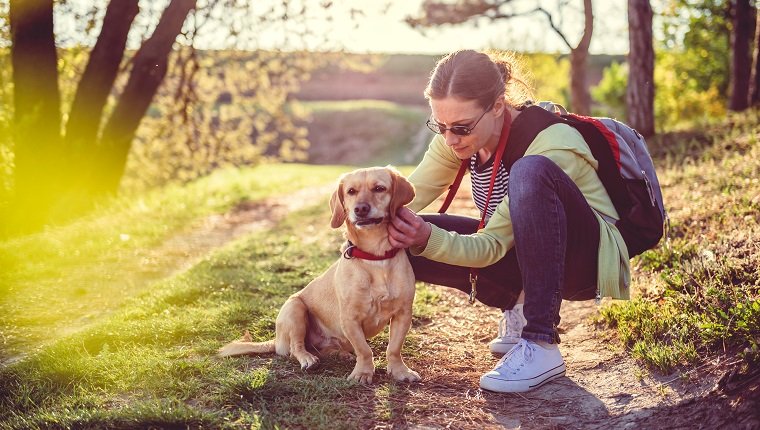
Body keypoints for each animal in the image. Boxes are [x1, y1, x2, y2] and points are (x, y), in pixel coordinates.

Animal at [218, 166, 422, 384]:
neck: (375, 258)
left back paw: (340, 354)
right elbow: (364, 350)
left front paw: (400, 371)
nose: (360, 209)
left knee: (327, 349)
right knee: (296, 348)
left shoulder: (403, 314)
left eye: (379, 188)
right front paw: (363, 373)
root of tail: (276, 340)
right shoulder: (350, 319)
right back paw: (308, 359)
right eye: (351, 191)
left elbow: (394, 348)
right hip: (295, 308)